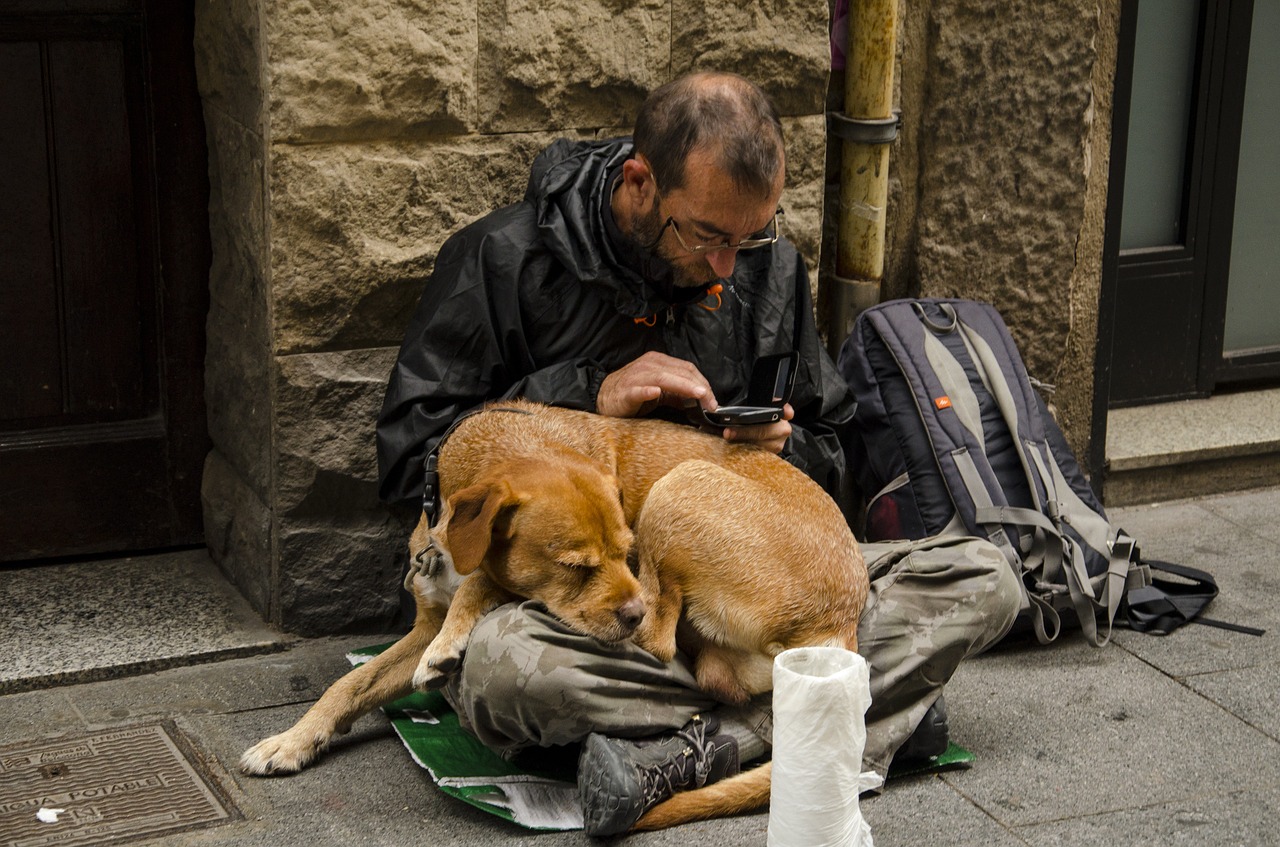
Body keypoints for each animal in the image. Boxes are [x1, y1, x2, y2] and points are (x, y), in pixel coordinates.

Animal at [238, 401, 870, 834]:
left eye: (627, 551)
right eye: (576, 566)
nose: (630, 610)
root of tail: (841, 623)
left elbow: (486, 585)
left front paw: (453, 641)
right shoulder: (420, 625)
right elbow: (349, 685)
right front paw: (291, 742)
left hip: (680, 486)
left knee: (663, 645)